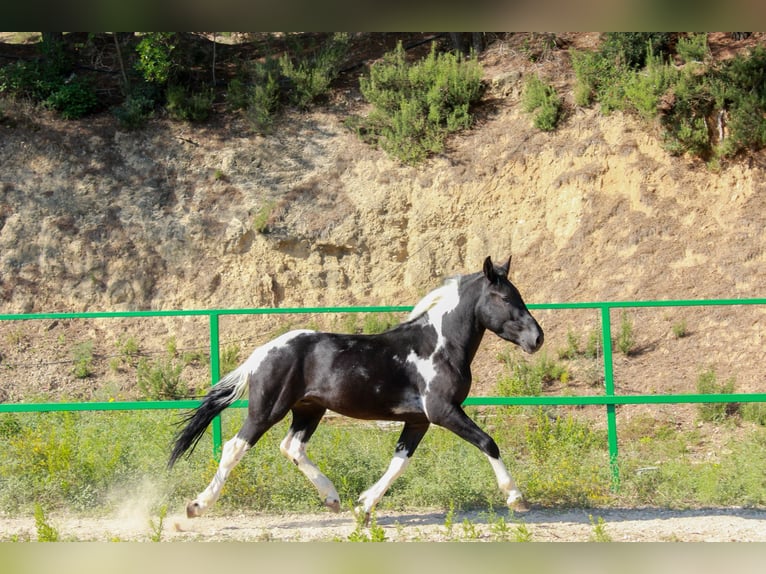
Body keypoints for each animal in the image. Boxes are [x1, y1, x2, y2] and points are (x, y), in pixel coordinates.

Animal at [168, 255, 544, 522]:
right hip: (267, 409)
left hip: (309, 409)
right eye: (503, 296)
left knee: (292, 447)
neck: (439, 345)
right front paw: (517, 498)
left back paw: (332, 498)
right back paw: (196, 506)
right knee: (235, 447)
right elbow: (488, 442)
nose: (536, 338)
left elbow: (399, 462)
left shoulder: (419, 419)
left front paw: (363, 506)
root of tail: (264, 351)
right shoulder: (443, 411)